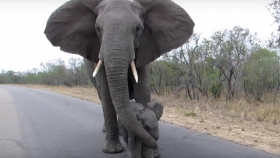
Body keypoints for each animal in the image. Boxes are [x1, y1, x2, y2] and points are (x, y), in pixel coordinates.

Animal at [44, 0, 195, 154]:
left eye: (138, 28)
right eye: (97, 29)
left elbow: (142, 91)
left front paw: (151, 153)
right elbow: (106, 95)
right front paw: (113, 150)